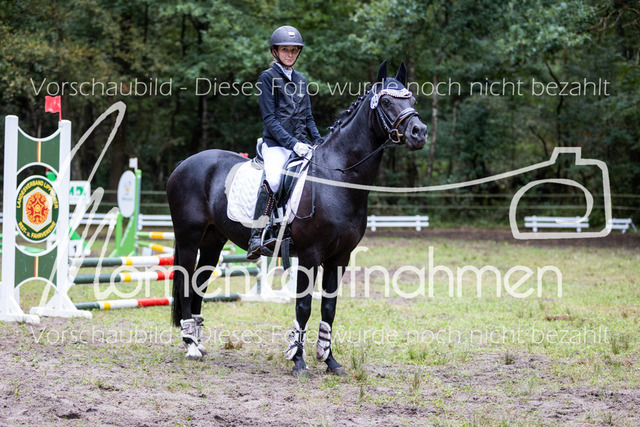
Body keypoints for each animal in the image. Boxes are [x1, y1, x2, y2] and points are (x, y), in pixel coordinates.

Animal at [166, 61, 428, 375]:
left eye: (413, 100)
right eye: (387, 102)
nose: (419, 132)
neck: (337, 177)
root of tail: (184, 163)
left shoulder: (340, 257)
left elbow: (329, 308)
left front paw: (329, 360)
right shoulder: (310, 255)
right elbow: (303, 306)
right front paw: (298, 359)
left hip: (212, 241)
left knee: (199, 283)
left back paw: (197, 342)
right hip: (188, 237)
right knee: (185, 280)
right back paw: (191, 345)